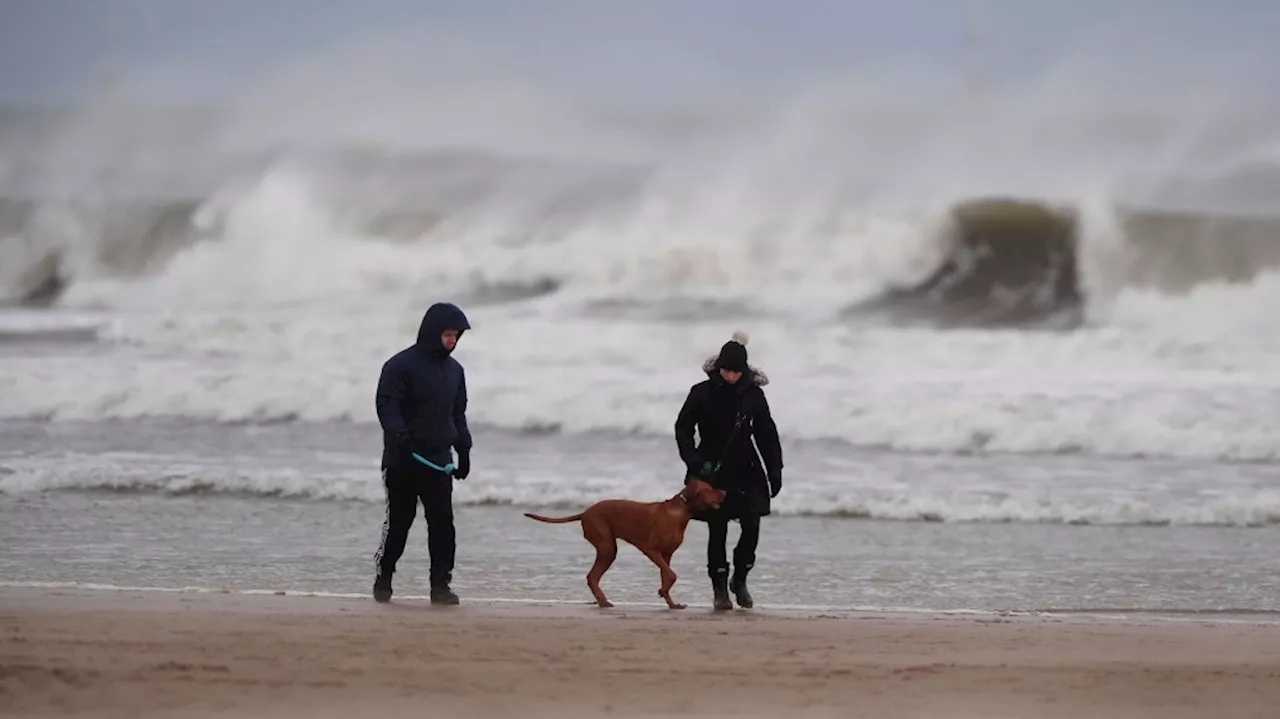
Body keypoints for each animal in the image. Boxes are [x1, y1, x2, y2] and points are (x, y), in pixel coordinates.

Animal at [519, 478, 721, 606]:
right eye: (709, 489)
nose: (725, 491)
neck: (680, 513)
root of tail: (585, 512)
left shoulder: (667, 555)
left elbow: (667, 575)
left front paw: (671, 602)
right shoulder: (652, 550)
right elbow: (672, 575)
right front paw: (664, 592)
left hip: (607, 549)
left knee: (592, 577)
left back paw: (602, 601)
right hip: (607, 547)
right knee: (592, 576)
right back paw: (603, 601)